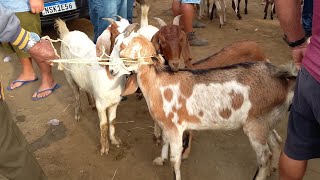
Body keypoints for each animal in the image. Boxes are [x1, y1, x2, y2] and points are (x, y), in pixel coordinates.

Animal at [55, 19, 138, 155]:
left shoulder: (115, 103)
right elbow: (103, 125)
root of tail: (67, 33)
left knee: (85, 88)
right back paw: (77, 114)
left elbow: (113, 121)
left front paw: (114, 140)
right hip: (69, 75)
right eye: (116, 39)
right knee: (76, 94)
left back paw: (91, 103)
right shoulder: (101, 105)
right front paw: (104, 148)